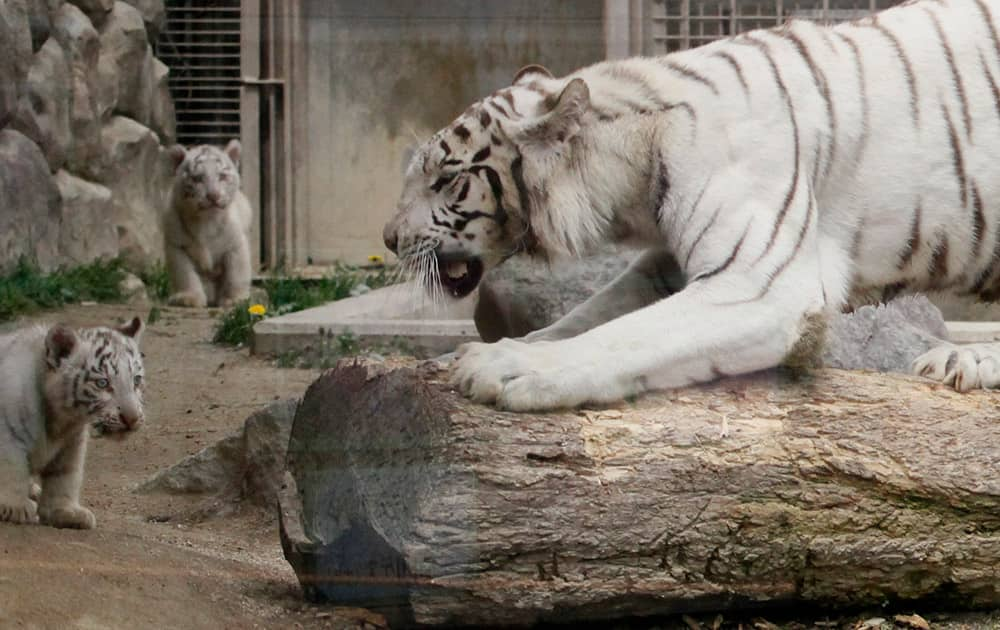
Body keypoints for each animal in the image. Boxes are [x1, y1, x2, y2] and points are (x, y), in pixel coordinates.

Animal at [382, 0, 1000, 412]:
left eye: (445, 179)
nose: (388, 239)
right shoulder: (668, 261)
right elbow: (589, 315)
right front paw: (478, 353)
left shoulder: (760, 283)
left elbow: (628, 335)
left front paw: (506, 366)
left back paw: (963, 360)